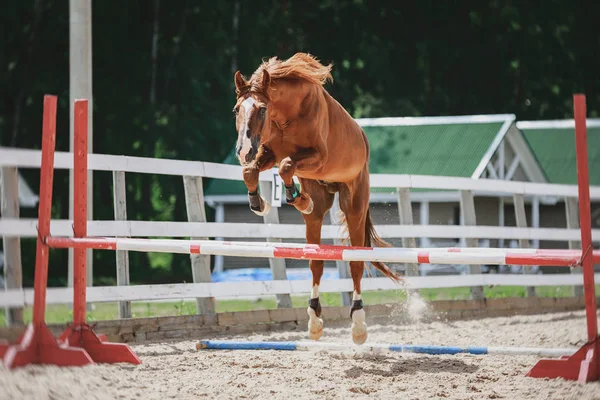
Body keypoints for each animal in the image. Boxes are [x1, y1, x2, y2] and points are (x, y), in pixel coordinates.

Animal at [232, 52, 400, 344]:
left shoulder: (317, 158)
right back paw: (314, 321)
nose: (242, 151)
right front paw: (259, 203)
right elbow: (251, 171)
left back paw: (358, 325)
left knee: (356, 263)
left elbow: (287, 165)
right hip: (318, 212)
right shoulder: (268, 153)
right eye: (236, 110)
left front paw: (298, 199)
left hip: (354, 205)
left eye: (262, 109)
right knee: (316, 262)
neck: (287, 115)